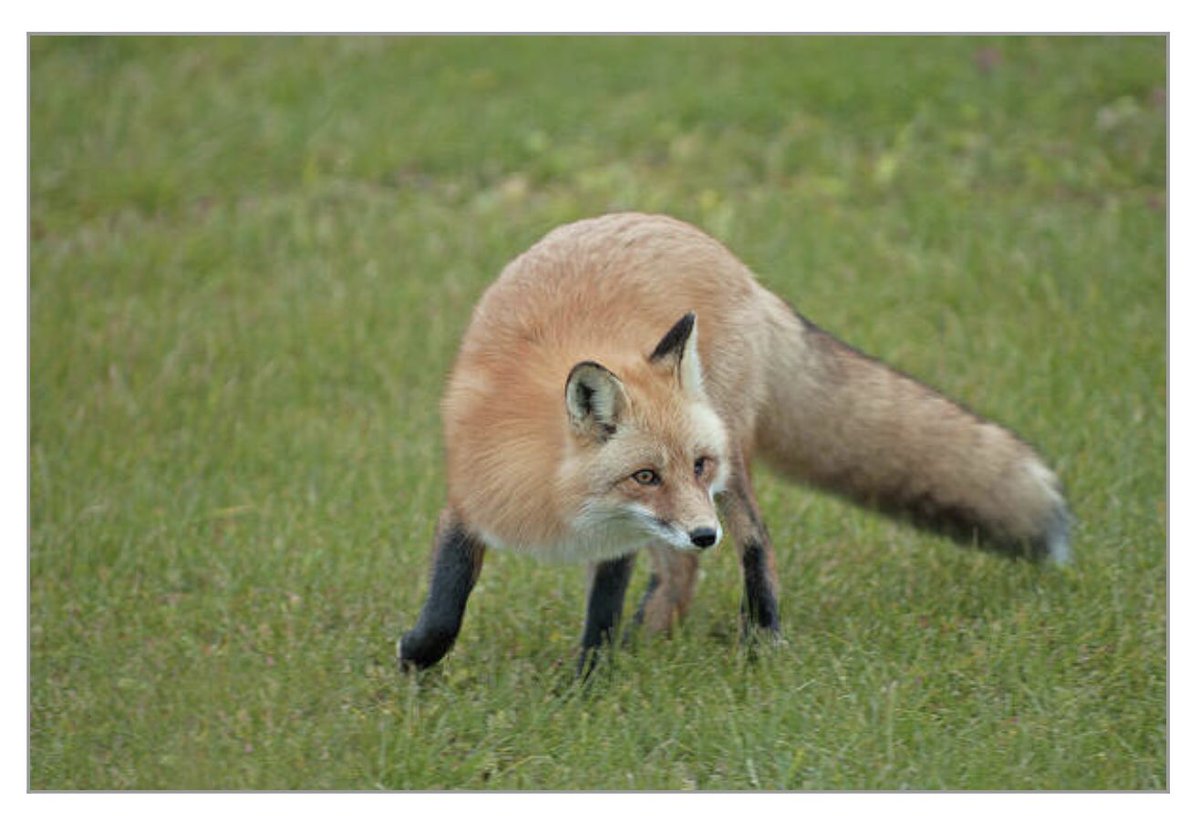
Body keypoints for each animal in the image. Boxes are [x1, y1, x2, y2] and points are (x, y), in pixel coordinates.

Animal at [398, 212, 1070, 674]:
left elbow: (601, 612)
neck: (562, 509)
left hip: (733, 476)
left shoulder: (626, 537)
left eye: (695, 464)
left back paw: (761, 637)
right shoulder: (471, 500)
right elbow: (446, 602)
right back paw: (654, 633)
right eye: (645, 475)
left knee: (753, 542)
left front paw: (587, 680)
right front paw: (417, 661)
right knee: (682, 571)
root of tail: (730, 259)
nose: (704, 533)